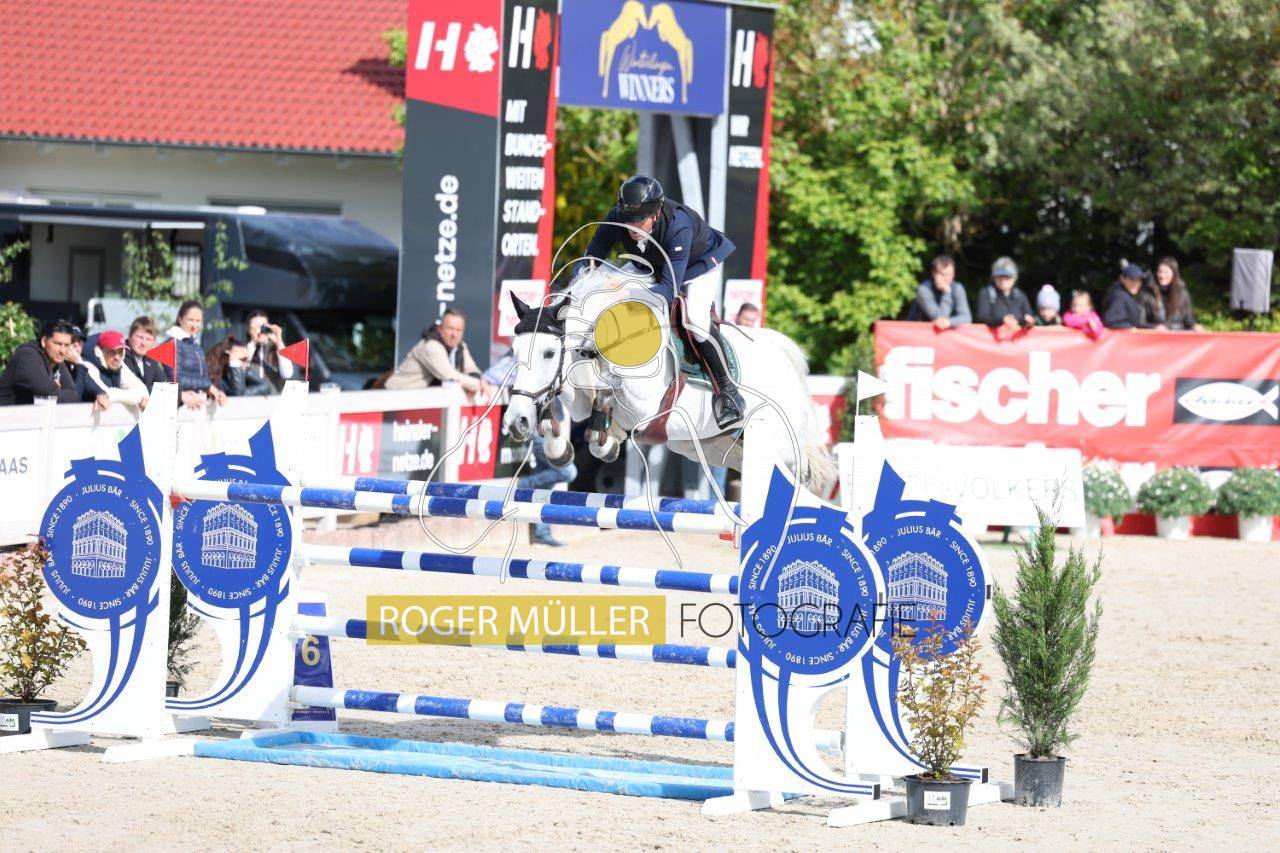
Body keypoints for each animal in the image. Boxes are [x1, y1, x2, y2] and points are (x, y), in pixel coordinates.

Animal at [501, 265, 836, 495]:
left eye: (548, 353)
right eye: (514, 351)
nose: (515, 422)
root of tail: (783, 358)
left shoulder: (646, 403)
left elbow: (611, 389)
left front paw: (604, 437)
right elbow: (571, 401)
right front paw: (562, 446)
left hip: (780, 444)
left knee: (798, 472)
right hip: (707, 445)